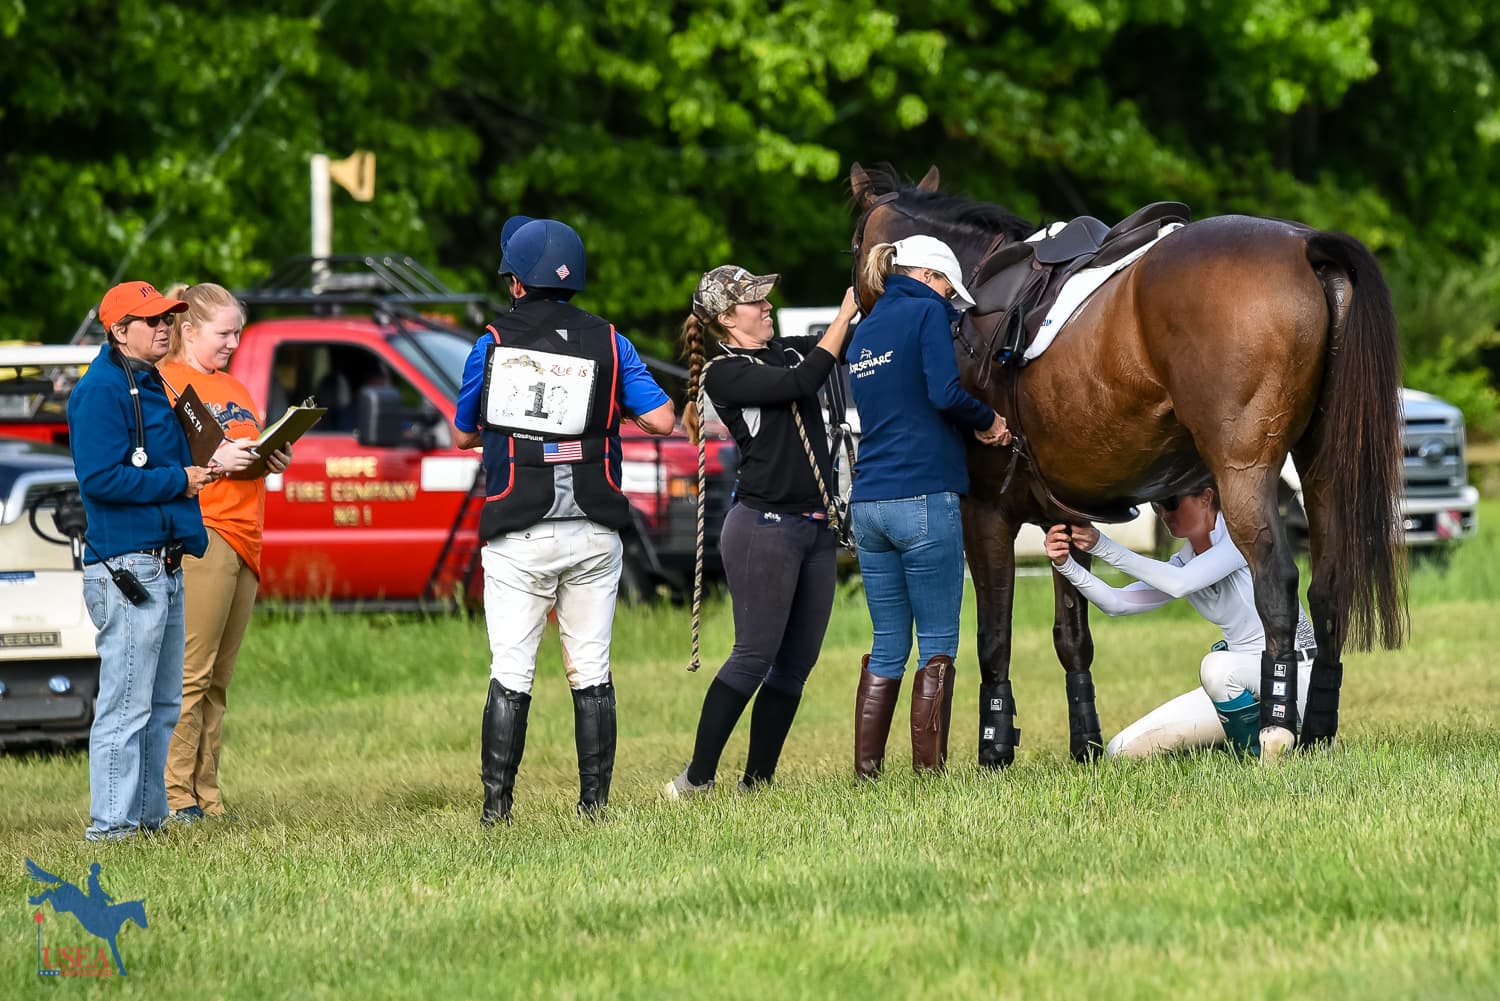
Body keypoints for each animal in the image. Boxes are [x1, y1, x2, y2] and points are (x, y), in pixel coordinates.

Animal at [847, 162, 1407, 763]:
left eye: (854, 240)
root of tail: (1304, 244)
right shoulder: (1061, 516)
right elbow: (1072, 637)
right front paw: (1085, 745)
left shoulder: (984, 511)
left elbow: (994, 636)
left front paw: (994, 750)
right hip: (1321, 467)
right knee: (1327, 590)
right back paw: (1317, 731)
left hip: (1244, 471)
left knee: (1276, 580)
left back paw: (1276, 730)